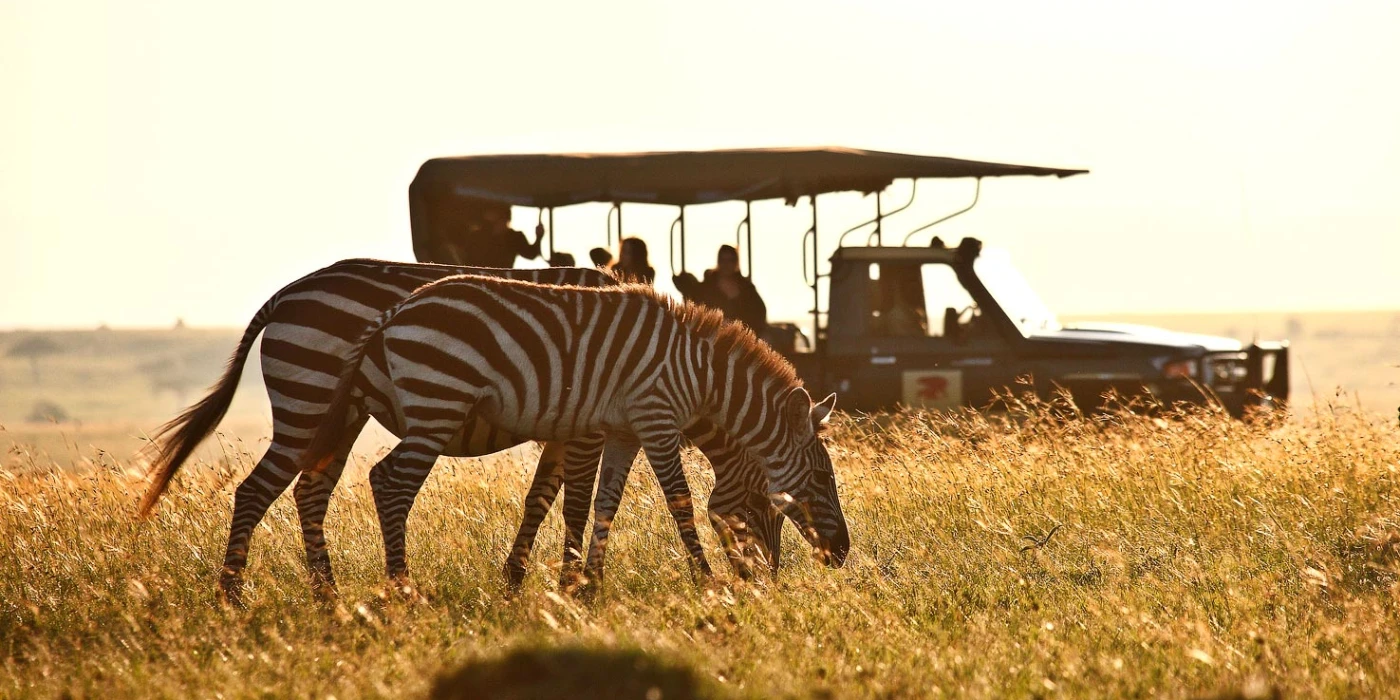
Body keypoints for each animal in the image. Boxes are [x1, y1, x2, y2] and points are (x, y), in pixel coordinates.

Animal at [136, 260, 784, 604]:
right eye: (769, 504)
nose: (771, 581)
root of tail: (286, 293)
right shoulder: (587, 425)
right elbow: (575, 501)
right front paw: (568, 582)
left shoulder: (567, 424)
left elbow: (541, 498)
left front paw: (517, 582)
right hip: (311, 399)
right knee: (259, 490)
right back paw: (234, 597)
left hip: (339, 417)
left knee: (307, 491)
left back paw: (328, 598)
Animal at [302, 273, 851, 585]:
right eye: (823, 480)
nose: (843, 554)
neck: (700, 376)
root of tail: (395, 311)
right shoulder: (656, 420)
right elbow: (679, 502)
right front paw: (706, 581)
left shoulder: (625, 431)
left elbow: (607, 502)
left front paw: (591, 586)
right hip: (438, 403)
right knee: (389, 481)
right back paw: (401, 589)